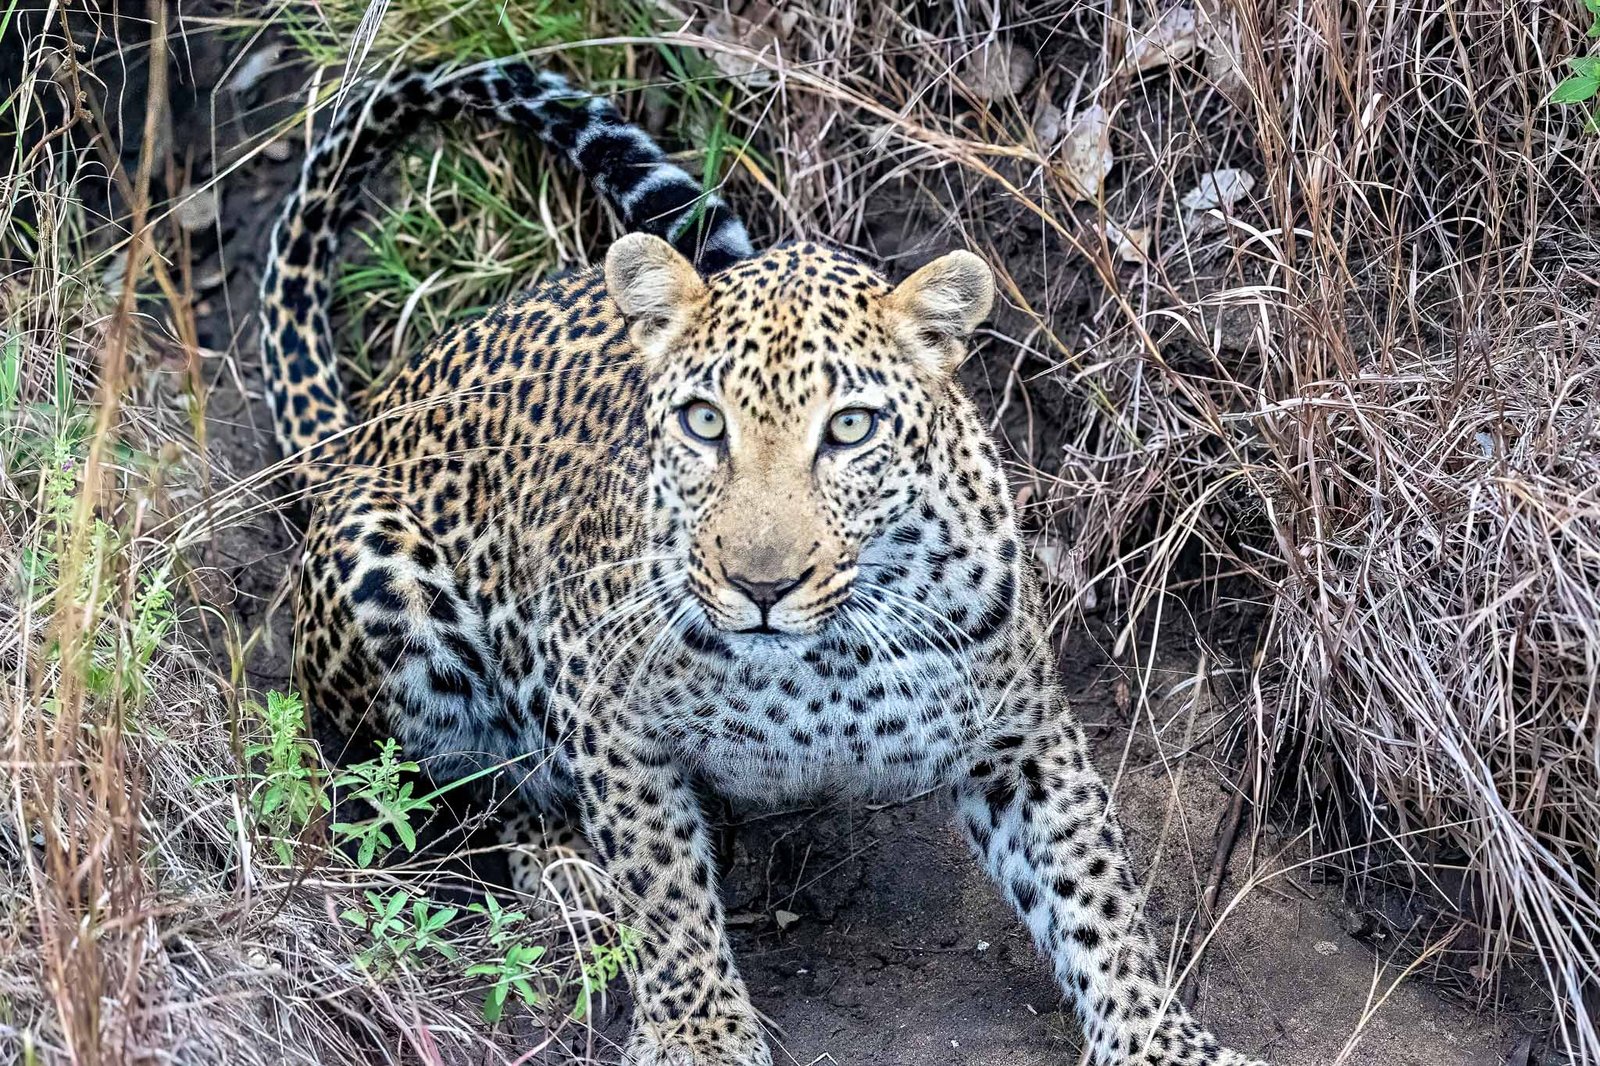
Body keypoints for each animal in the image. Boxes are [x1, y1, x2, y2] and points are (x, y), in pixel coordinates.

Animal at [259, 60, 1268, 1066]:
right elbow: (663, 889)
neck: (825, 663)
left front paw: (1157, 1036)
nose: (763, 587)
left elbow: (1097, 889)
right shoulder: (608, 719)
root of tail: (363, 426)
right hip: (382, 573)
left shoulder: (1024, 734)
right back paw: (570, 870)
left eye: (850, 428)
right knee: (459, 780)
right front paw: (698, 1032)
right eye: (705, 421)